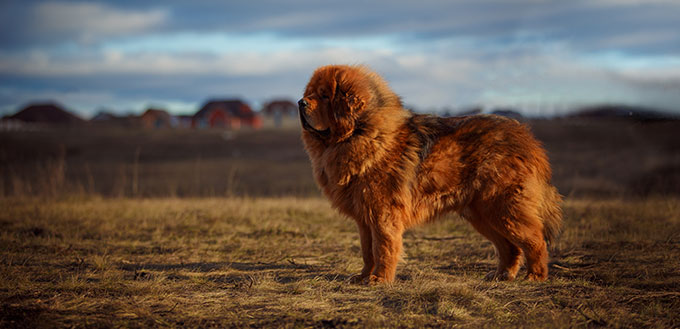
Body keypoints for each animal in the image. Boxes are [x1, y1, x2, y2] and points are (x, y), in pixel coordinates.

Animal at [298, 65, 564, 284]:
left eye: (324, 96)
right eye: (310, 93)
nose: (300, 103)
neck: (361, 132)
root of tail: (527, 138)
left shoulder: (383, 213)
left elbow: (383, 247)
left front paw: (379, 279)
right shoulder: (364, 217)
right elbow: (367, 251)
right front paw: (363, 276)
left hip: (503, 206)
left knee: (535, 240)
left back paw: (535, 276)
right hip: (481, 213)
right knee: (509, 247)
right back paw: (501, 275)